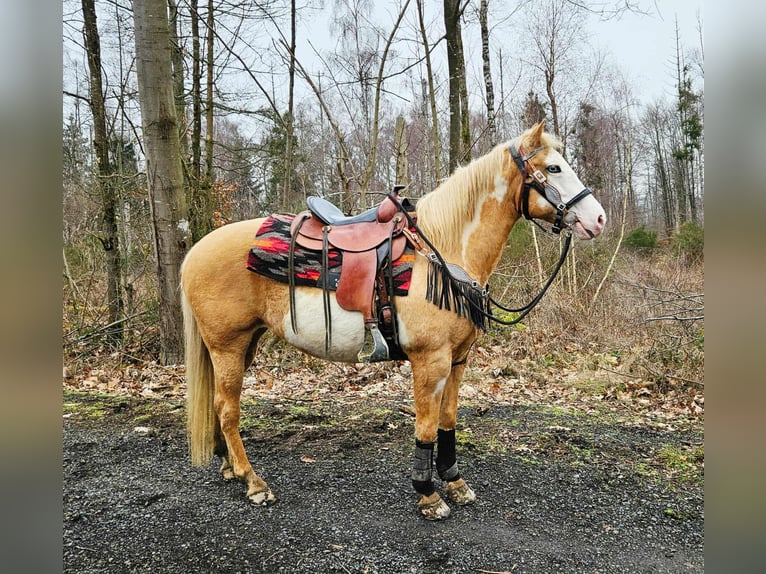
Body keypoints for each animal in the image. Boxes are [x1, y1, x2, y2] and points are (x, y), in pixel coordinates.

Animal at [181, 122, 606, 520]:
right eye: (553, 167)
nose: (598, 219)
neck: (445, 251)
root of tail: (195, 251)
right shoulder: (429, 361)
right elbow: (426, 426)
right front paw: (428, 495)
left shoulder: (457, 360)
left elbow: (448, 420)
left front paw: (455, 483)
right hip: (228, 345)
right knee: (227, 409)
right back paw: (253, 482)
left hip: (244, 344)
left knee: (220, 406)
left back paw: (229, 468)